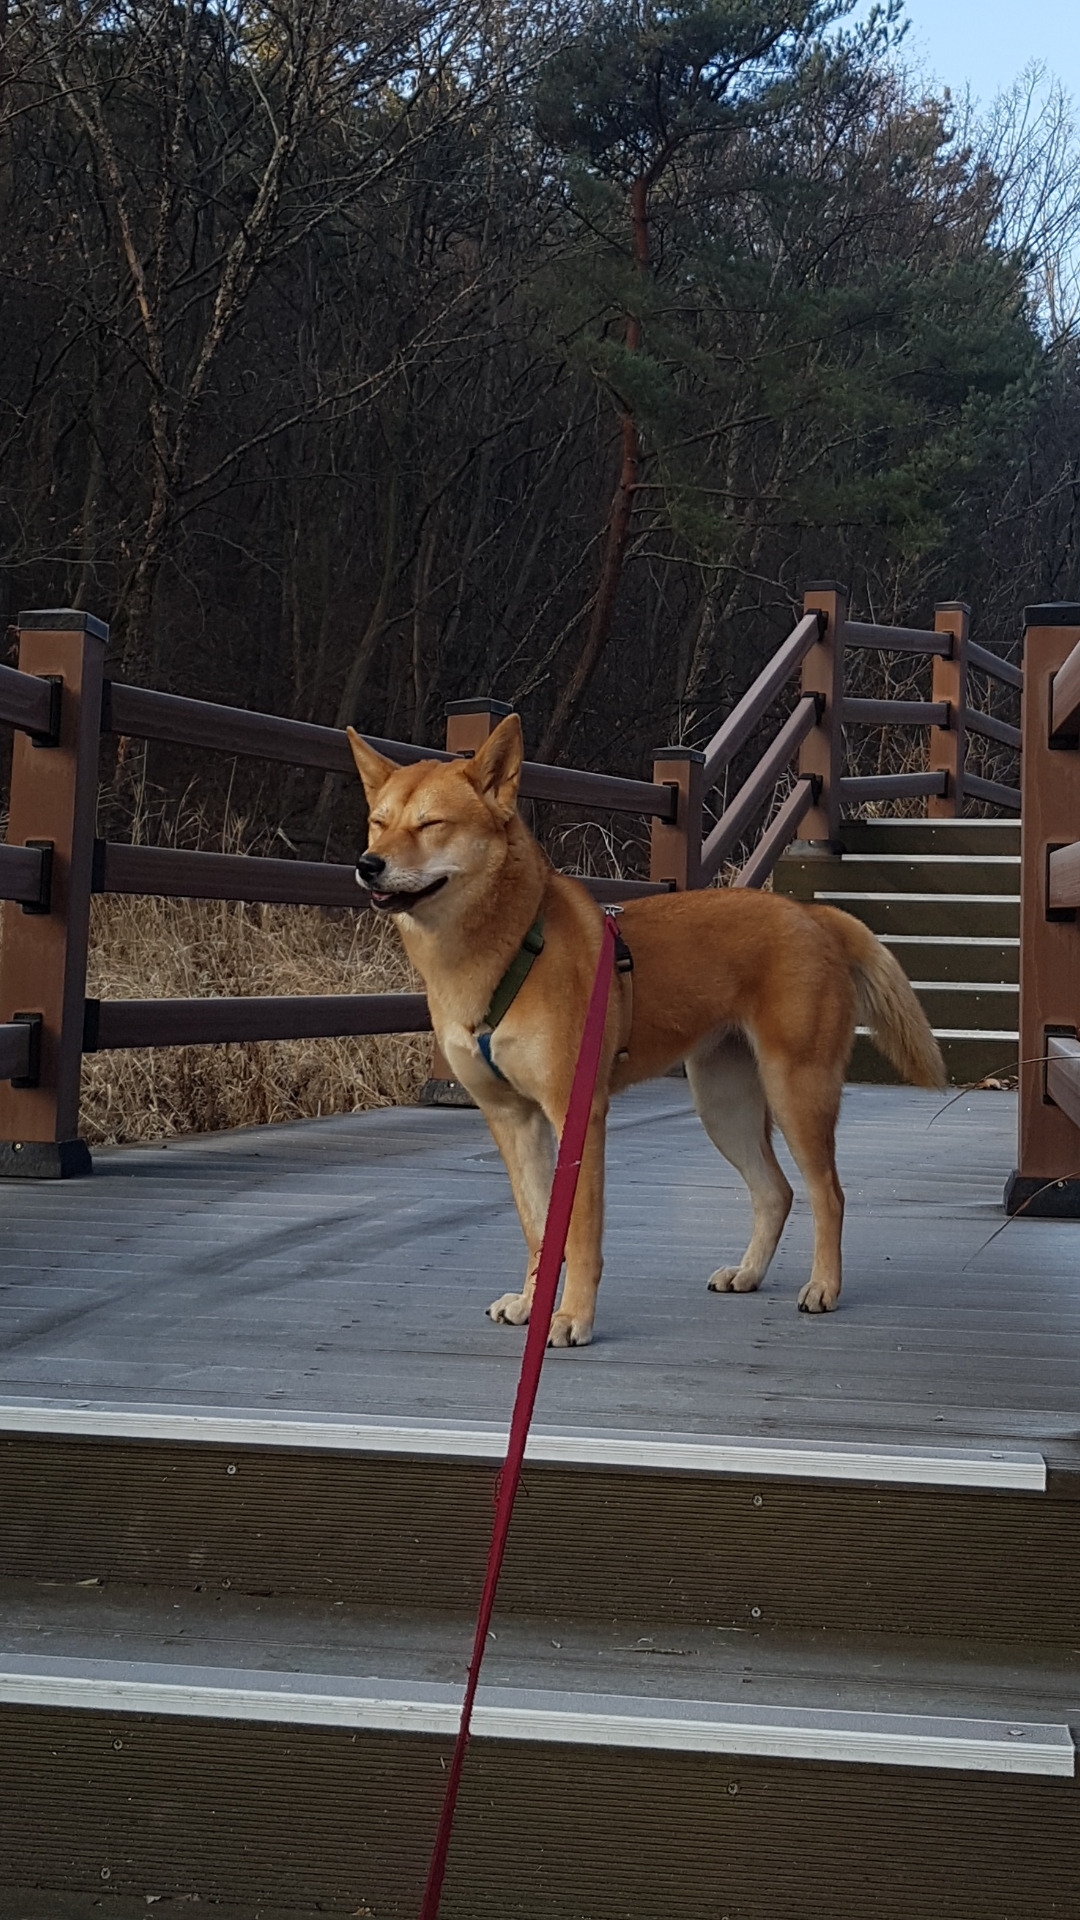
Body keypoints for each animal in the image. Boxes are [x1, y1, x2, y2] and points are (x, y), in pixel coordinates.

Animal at [348, 713, 944, 1345]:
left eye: (430, 823)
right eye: (379, 821)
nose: (368, 863)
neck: (508, 945)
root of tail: (812, 915)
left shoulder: (577, 1114)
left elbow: (579, 1234)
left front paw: (572, 1316)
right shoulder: (513, 1120)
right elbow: (539, 1228)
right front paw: (534, 1303)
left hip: (796, 1092)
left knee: (828, 1193)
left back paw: (824, 1286)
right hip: (724, 1107)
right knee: (776, 1191)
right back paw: (749, 1272)